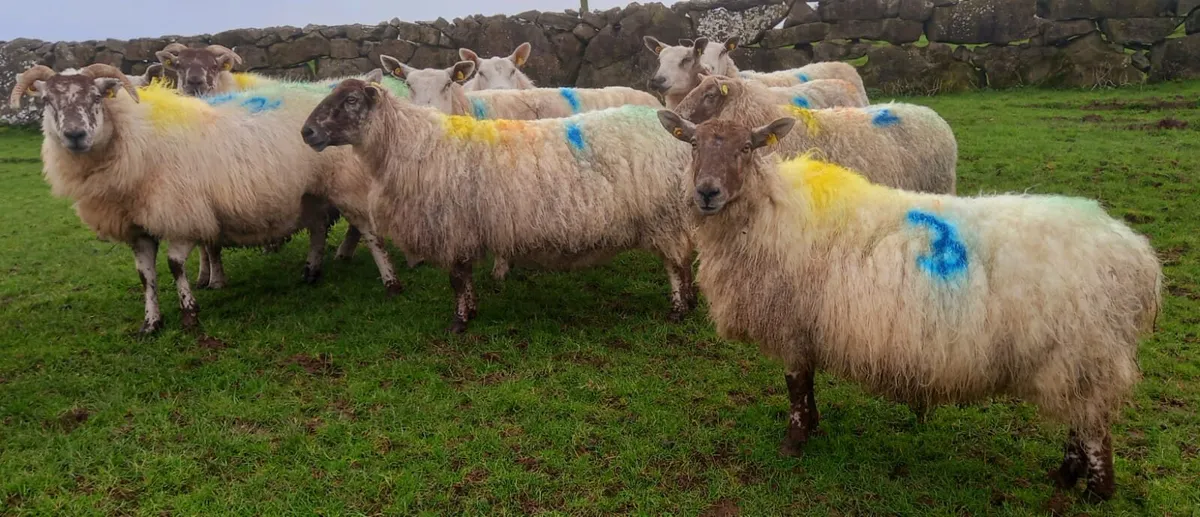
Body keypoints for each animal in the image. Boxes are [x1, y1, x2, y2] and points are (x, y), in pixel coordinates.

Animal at [9, 64, 403, 333]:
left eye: (96, 98)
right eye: (47, 101)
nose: (74, 135)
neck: (137, 138)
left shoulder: (182, 213)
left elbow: (174, 265)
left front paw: (189, 312)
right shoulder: (138, 226)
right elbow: (145, 276)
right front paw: (151, 323)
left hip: (345, 184)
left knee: (369, 233)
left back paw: (390, 282)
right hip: (311, 192)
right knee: (319, 229)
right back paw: (310, 272)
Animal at [300, 75, 697, 333]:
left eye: (351, 101)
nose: (307, 132)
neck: (413, 144)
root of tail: (678, 134)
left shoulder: (455, 228)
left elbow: (457, 279)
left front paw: (459, 323)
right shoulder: (462, 229)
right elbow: (464, 278)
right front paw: (471, 312)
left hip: (666, 216)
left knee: (676, 265)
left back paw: (679, 311)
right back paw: (690, 303)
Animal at [656, 112, 1161, 501]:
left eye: (747, 147)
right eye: (694, 143)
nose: (706, 192)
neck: (768, 211)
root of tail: (1138, 258)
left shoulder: (794, 324)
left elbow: (796, 385)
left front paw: (794, 442)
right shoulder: (809, 325)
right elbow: (808, 384)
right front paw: (814, 427)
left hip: (1086, 351)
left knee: (1094, 429)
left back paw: (1095, 491)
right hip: (1079, 359)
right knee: (1081, 420)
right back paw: (1065, 476)